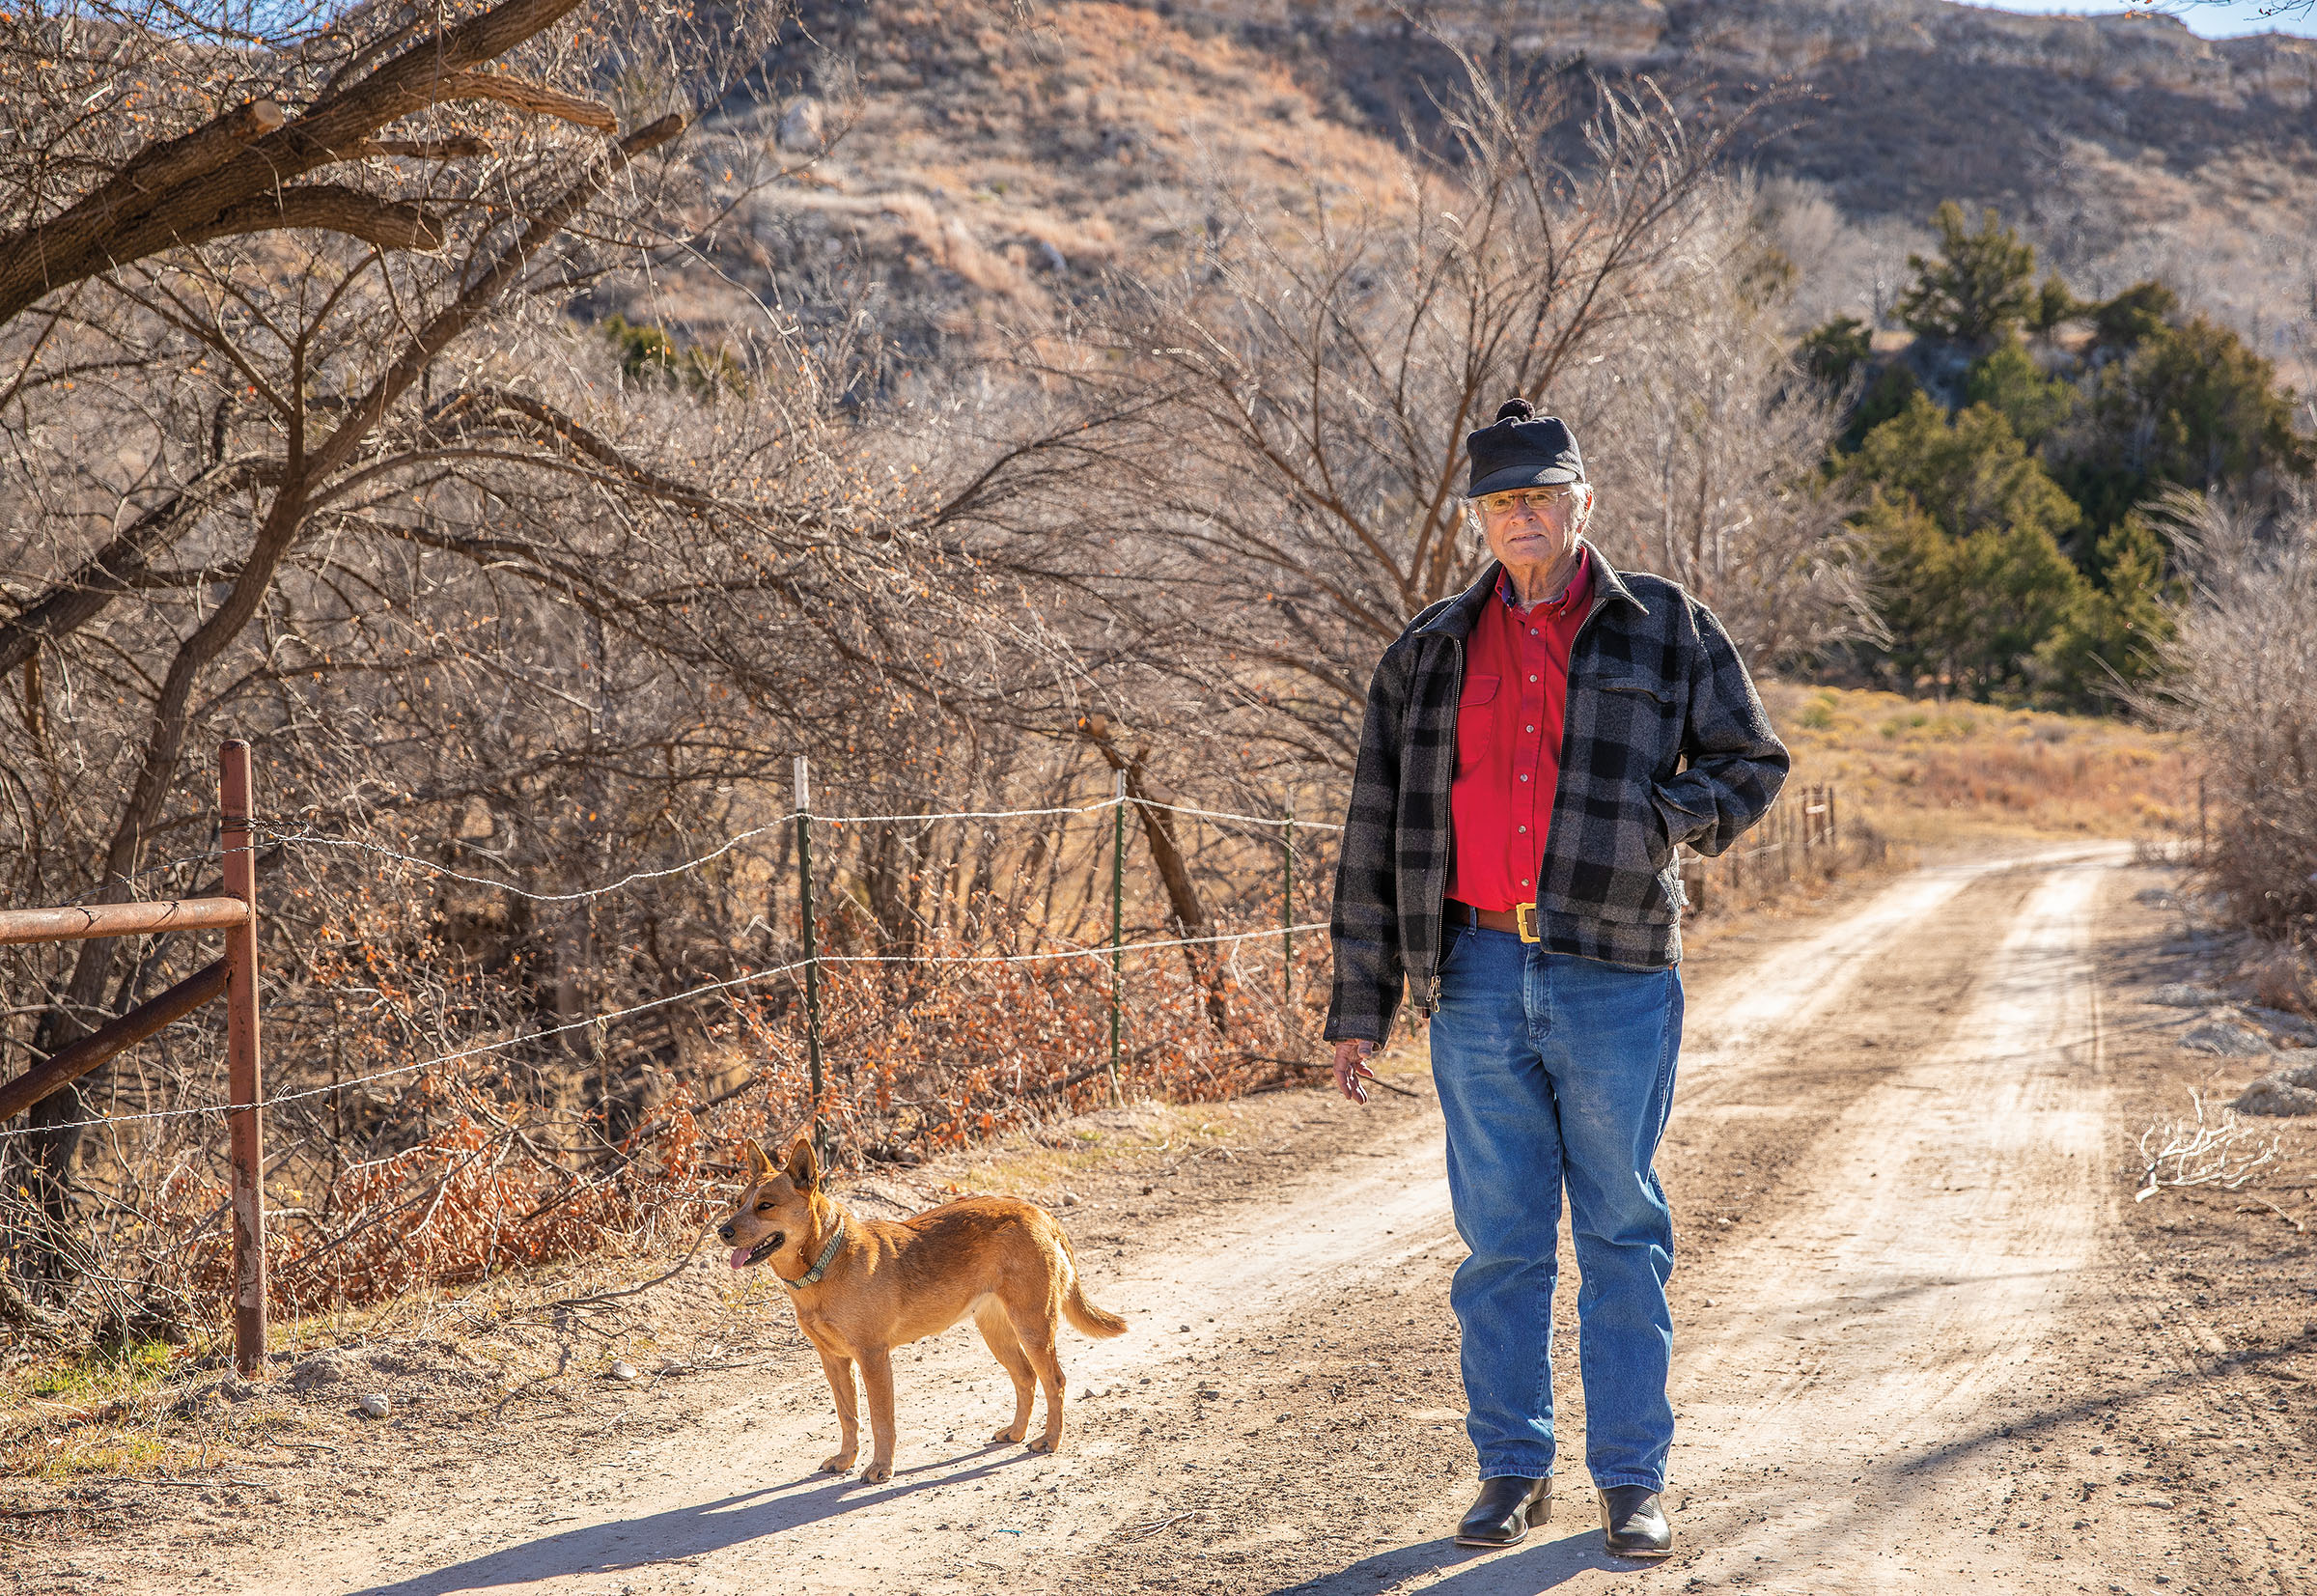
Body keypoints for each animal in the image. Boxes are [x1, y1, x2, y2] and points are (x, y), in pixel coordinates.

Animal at [718, 1134, 1126, 1482]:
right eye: (738, 1203)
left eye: (765, 1206)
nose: (722, 1232)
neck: (825, 1263)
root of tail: (1038, 1211)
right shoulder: (833, 1359)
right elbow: (848, 1415)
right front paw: (846, 1459)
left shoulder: (872, 1356)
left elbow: (881, 1419)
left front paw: (881, 1468)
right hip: (996, 1331)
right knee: (1025, 1377)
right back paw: (1016, 1432)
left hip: (1033, 1325)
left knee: (1054, 1380)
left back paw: (1049, 1440)